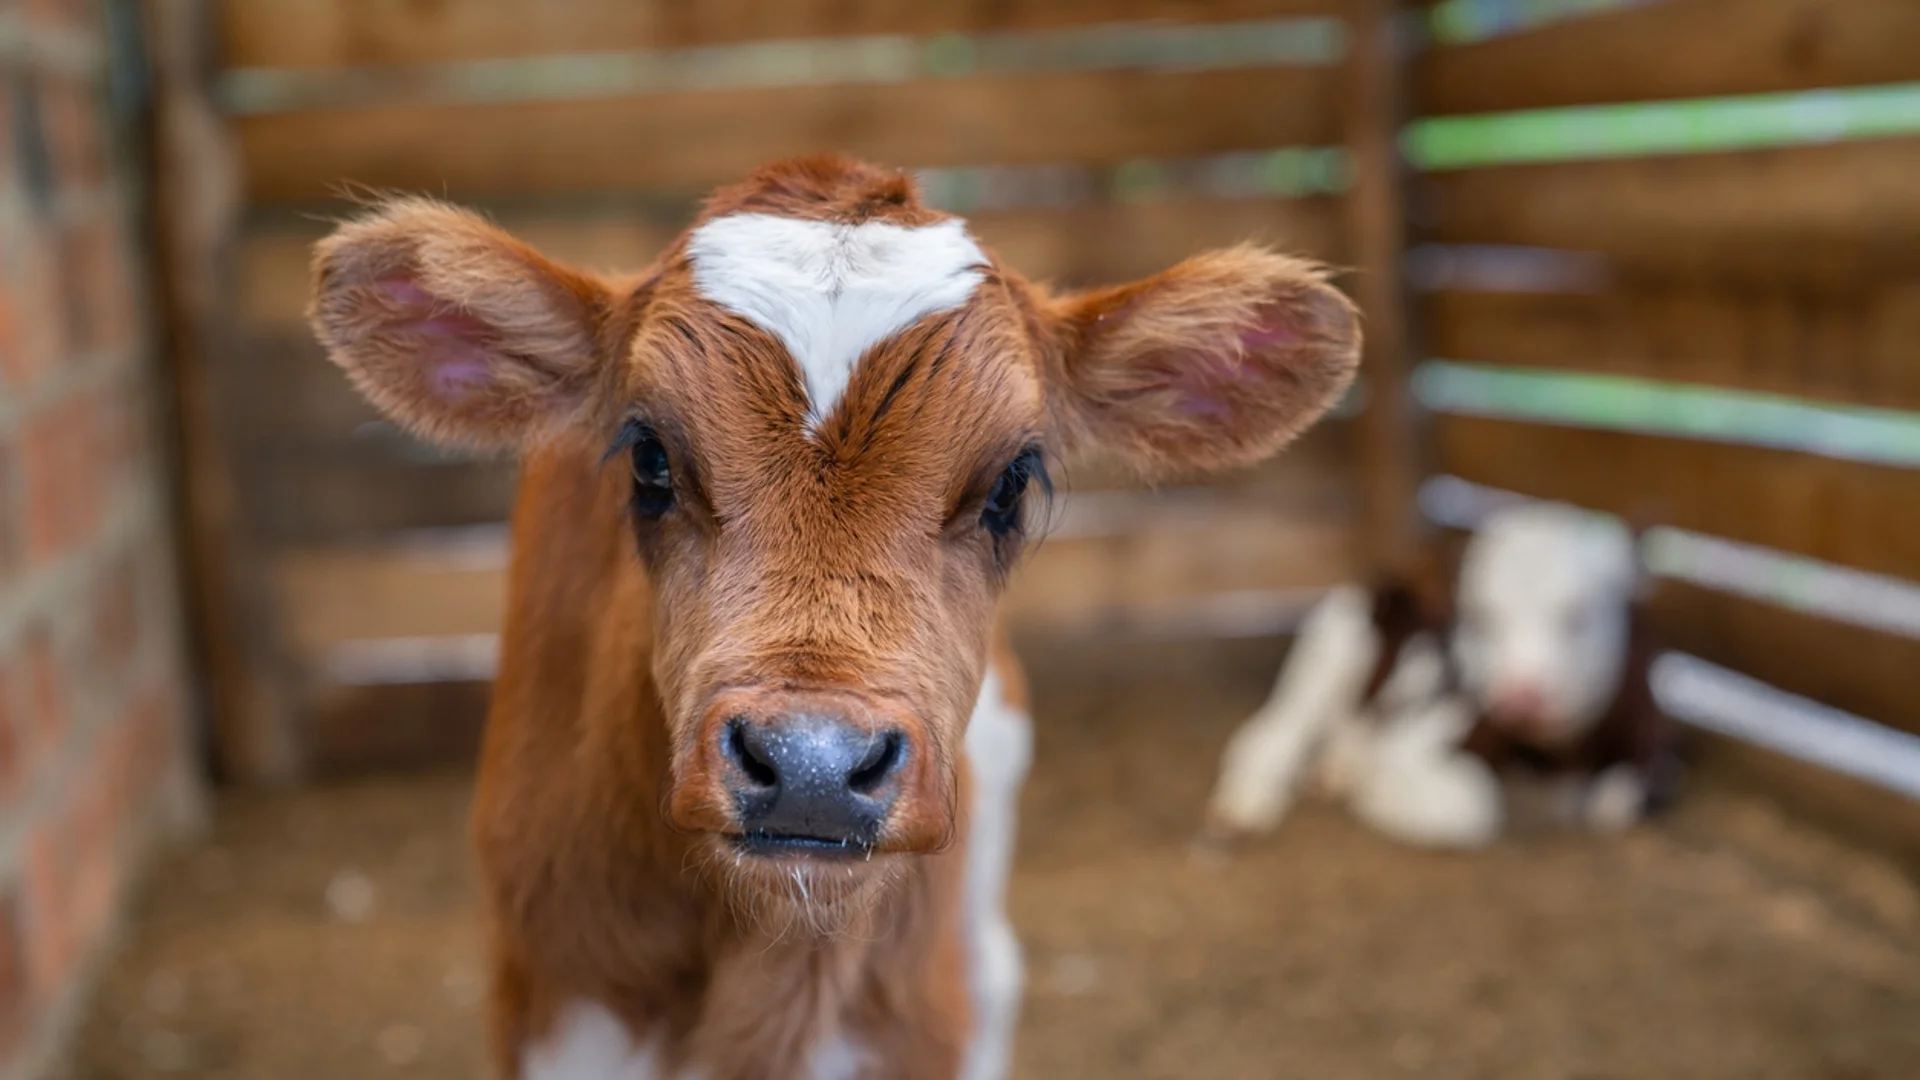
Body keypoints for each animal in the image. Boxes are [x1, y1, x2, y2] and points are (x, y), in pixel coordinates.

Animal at [1205, 499, 1689, 845]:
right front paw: (1372, 790)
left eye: (1578, 615)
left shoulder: (1653, 735)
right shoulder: (1422, 738)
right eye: (1480, 617)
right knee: (1273, 731)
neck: (1558, 753)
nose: (1520, 697)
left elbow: (1622, 799)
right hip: (1328, 656)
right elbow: (1477, 809)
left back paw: (1334, 769)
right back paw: (1245, 804)